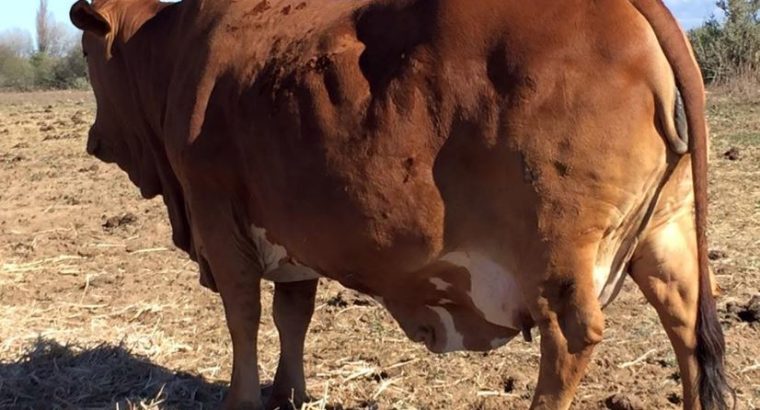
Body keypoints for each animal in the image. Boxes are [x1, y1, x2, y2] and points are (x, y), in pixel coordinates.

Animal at [69, 0, 732, 409]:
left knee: (570, 340)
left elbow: (244, 317)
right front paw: (289, 393)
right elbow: (291, 316)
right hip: (666, 234)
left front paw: (243, 398)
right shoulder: (292, 233)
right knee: (685, 327)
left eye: (84, 53)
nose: (94, 139)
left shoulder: (216, 213)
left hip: (560, 256)